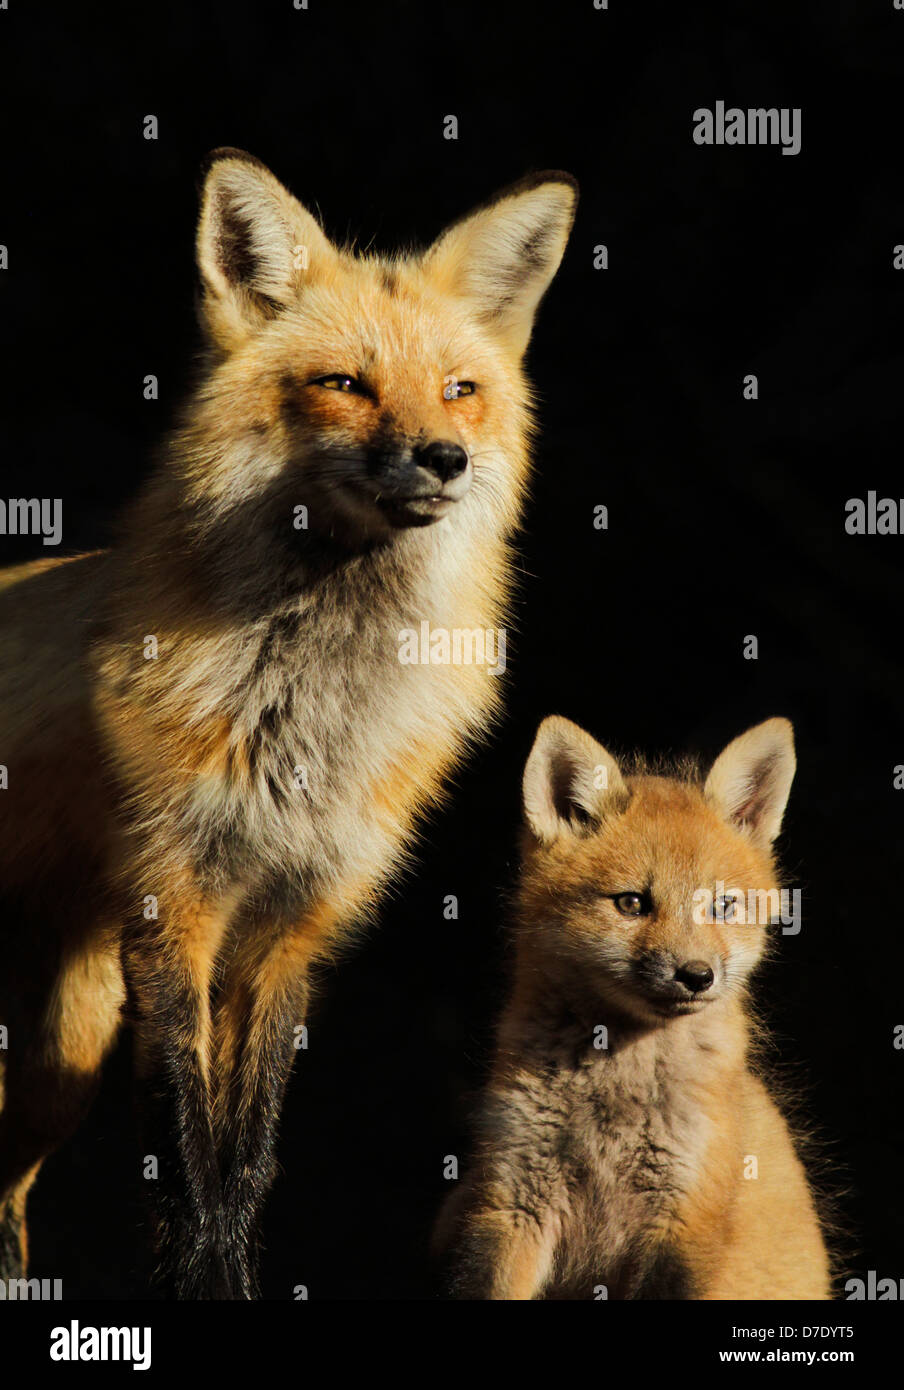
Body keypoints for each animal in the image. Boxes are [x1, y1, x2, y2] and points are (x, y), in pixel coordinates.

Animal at [0, 154, 578, 1301]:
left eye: (461, 389)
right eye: (346, 384)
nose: (443, 457)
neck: (301, 722)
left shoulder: (291, 928)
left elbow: (247, 1160)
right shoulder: (173, 909)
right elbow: (187, 1166)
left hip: (57, 1054)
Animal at [439, 717, 828, 1301]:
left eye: (723, 906)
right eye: (631, 903)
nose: (697, 975)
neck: (615, 1095)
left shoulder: (683, 1220)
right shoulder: (511, 1198)